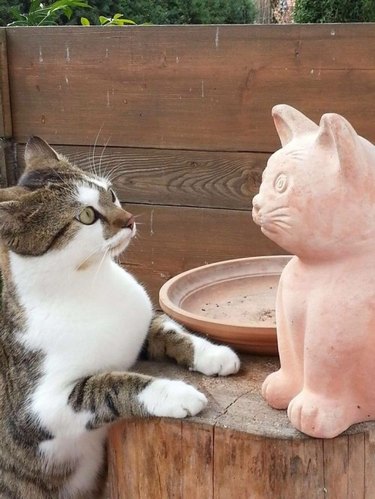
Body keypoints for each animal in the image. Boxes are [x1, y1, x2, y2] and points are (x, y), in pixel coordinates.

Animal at [0, 137, 241, 499]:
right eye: (86, 215)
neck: (91, 282)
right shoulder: (37, 411)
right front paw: (176, 394)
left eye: (110, 194)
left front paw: (214, 354)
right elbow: (106, 384)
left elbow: (168, 329)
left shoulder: (140, 319)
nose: (129, 220)